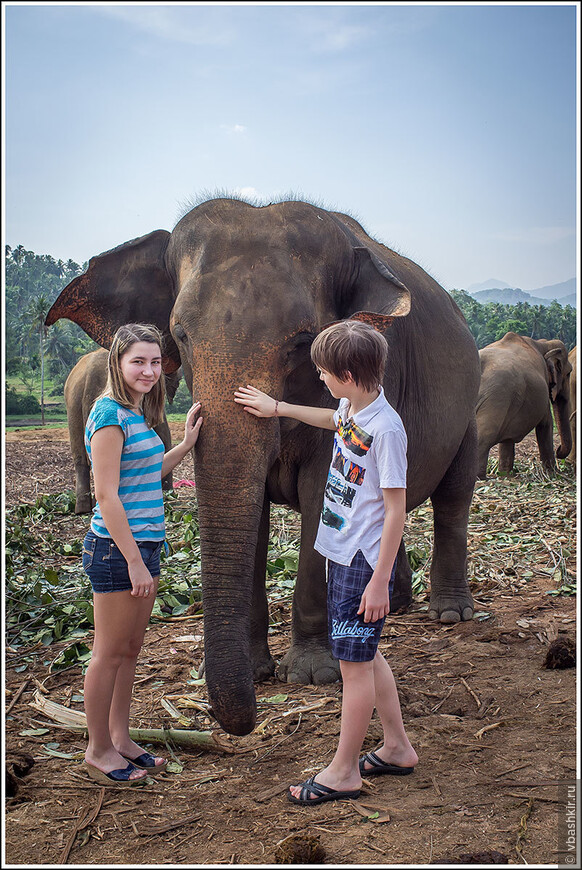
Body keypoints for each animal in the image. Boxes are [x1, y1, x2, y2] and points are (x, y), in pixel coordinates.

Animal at [62, 348, 179, 516]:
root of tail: (89, 375)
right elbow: (163, 435)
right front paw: (170, 495)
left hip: (73, 404)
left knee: (80, 458)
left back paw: (82, 509)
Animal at [480, 330, 576, 480]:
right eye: (569, 373)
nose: (558, 449)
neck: (543, 343)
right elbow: (545, 424)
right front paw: (553, 473)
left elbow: (507, 439)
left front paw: (505, 474)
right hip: (496, 397)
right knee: (483, 436)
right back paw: (479, 478)